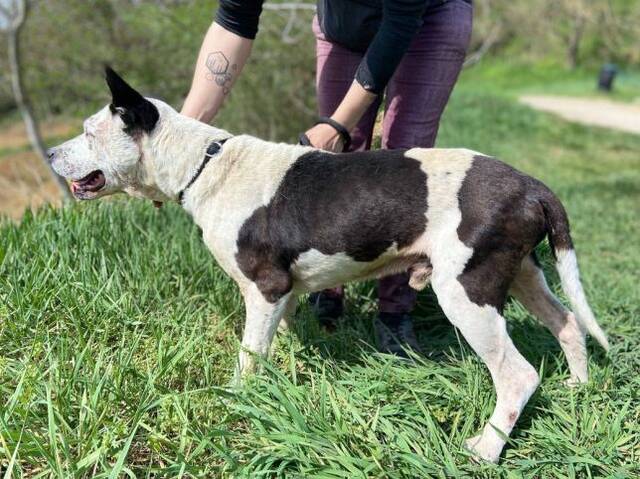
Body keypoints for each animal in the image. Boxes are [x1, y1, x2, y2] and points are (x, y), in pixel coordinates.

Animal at [49, 68, 609, 463]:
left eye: (89, 132)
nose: (52, 153)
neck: (202, 164)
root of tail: (532, 185)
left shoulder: (265, 287)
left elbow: (247, 357)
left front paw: (236, 402)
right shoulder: (284, 295)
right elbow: (272, 346)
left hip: (466, 293)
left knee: (517, 375)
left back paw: (486, 449)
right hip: (522, 274)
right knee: (568, 324)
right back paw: (579, 388)